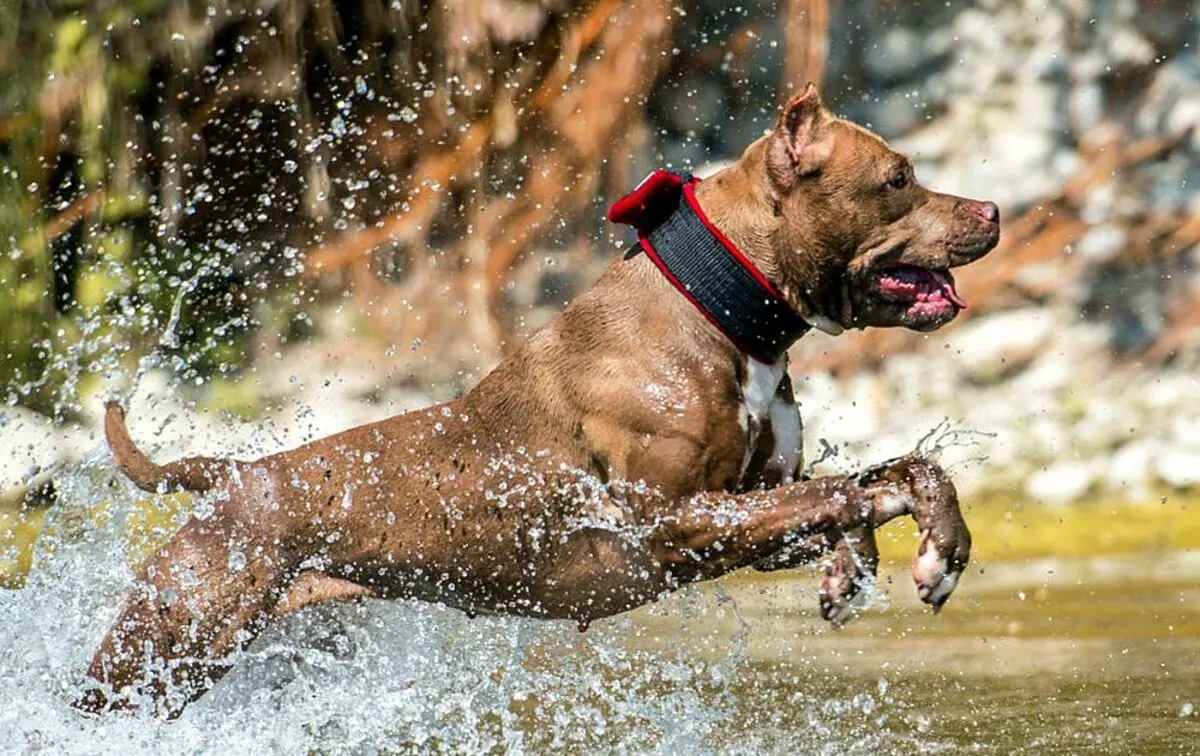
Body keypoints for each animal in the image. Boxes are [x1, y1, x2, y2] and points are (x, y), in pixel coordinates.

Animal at [79, 85, 998, 720]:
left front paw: (925, 555)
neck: (714, 304)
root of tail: (235, 478)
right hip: (165, 645)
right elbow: (843, 492)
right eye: (897, 178)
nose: (992, 208)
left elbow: (904, 472)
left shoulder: (748, 509)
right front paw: (860, 554)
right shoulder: (675, 521)